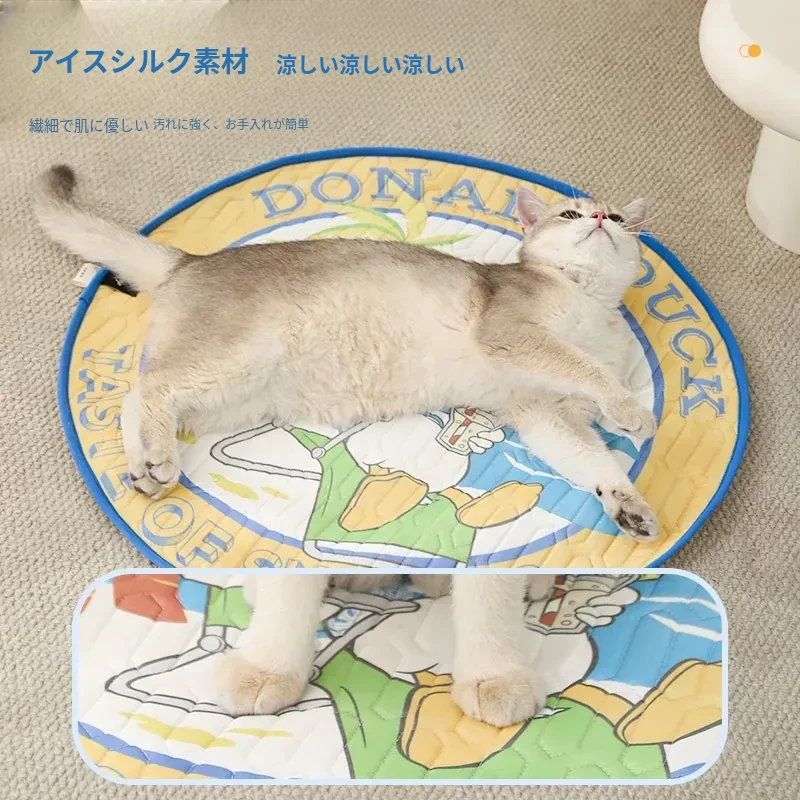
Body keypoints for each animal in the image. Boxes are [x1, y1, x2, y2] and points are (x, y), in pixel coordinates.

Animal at [34, 165, 659, 541]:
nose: (600, 218)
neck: (589, 299)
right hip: (236, 359)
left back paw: (145, 468)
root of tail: (189, 261)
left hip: (231, 398)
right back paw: (159, 460)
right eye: (570, 214)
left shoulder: (544, 412)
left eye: (617, 218)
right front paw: (631, 413)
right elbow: (585, 368)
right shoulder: (517, 335)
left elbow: (593, 461)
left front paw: (626, 502)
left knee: (136, 397)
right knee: (150, 387)